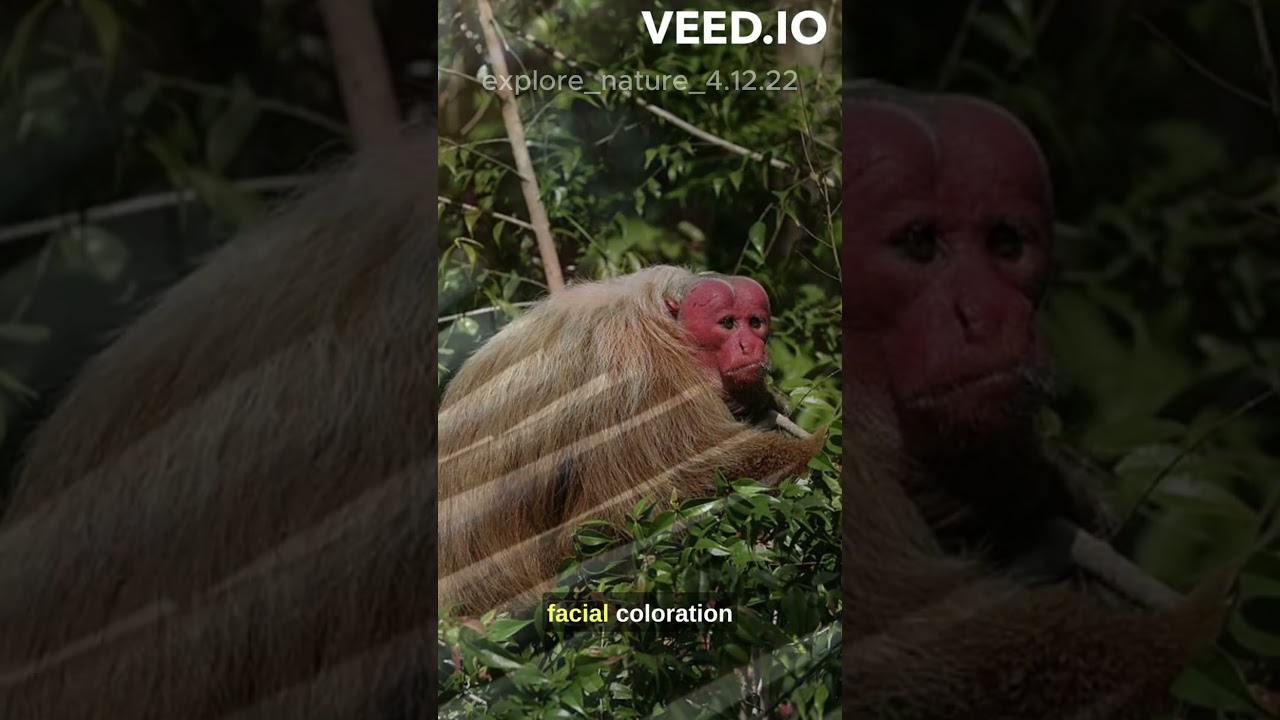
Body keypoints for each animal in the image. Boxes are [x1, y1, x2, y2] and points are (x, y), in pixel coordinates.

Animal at [438, 266, 826, 617]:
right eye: (727, 324)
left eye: (755, 322)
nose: (750, 346)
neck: (669, 330)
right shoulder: (639, 367)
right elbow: (661, 492)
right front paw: (814, 451)